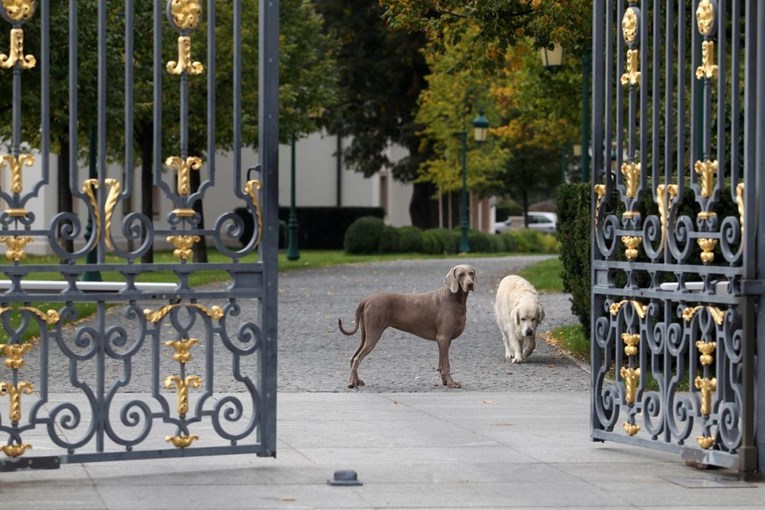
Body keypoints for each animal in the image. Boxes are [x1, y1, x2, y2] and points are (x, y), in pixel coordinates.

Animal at [338, 264, 474, 388]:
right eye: (461, 274)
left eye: (471, 273)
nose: (470, 284)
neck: (455, 298)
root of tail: (366, 299)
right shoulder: (443, 337)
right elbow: (446, 364)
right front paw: (451, 383)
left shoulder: (444, 340)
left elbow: (441, 363)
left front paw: (445, 382)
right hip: (373, 334)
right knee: (357, 358)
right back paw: (352, 383)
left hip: (365, 334)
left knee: (352, 357)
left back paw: (356, 381)